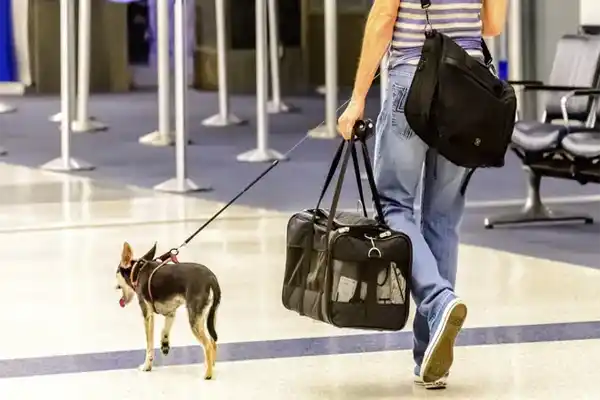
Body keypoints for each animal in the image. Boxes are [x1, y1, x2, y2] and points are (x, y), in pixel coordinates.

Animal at [116, 242, 221, 380]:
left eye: (117, 271)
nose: (114, 285)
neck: (137, 271)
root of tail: (211, 277)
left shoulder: (147, 315)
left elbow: (149, 345)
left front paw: (147, 366)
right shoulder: (170, 312)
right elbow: (164, 330)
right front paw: (164, 344)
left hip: (194, 318)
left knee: (208, 345)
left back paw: (208, 374)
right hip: (208, 316)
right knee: (213, 342)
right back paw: (210, 366)